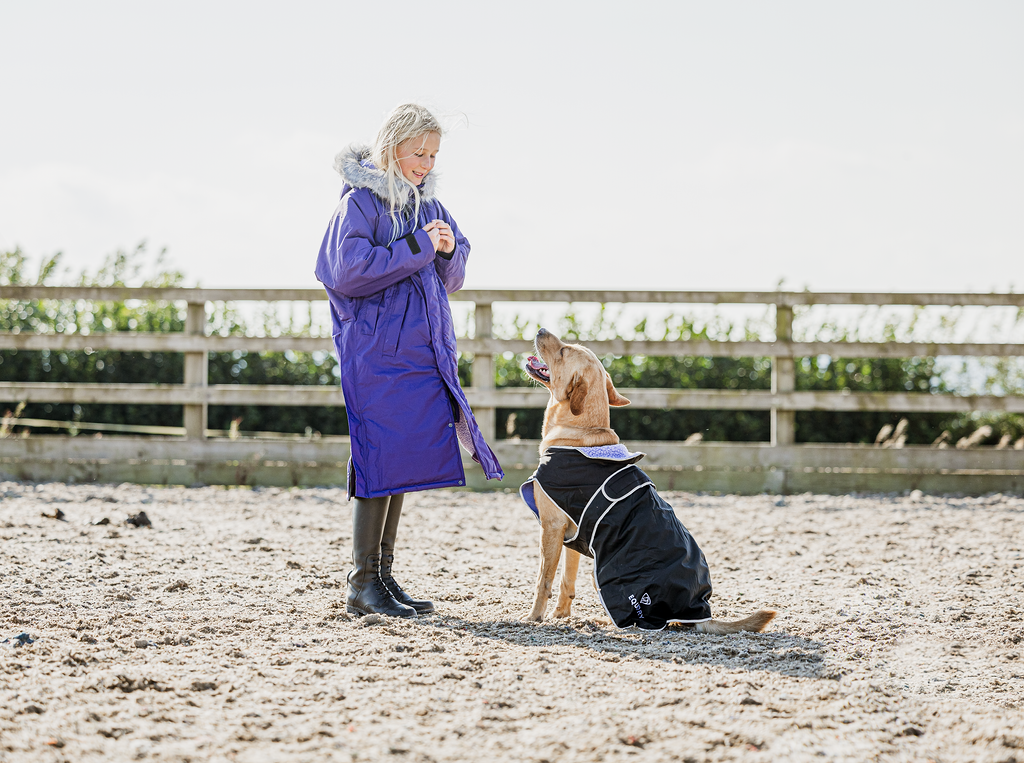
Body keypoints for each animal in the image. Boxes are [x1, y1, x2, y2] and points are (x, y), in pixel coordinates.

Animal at [524, 327, 770, 630]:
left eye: (563, 351)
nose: (540, 329)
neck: (582, 431)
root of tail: (701, 611)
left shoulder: (551, 525)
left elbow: (543, 580)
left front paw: (533, 617)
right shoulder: (572, 532)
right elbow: (565, 580)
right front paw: (560, 615)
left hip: (606, 575)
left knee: (639, 623)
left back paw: (604, 621)